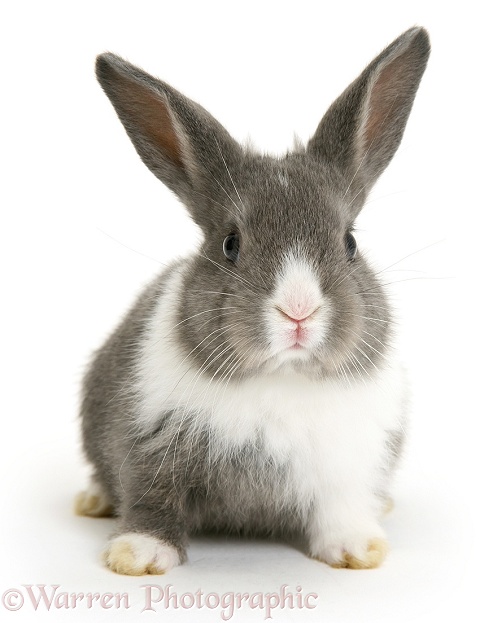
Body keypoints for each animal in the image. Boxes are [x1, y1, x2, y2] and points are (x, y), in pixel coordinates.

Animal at [75, 28, 428, 576]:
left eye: (349, 243)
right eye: (230, 244)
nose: (298, 311)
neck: (282, 376)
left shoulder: (349, 466)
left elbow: (341, 509)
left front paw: (357, 550)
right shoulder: (149, 445)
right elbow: (153, 498)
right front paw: (138, 554)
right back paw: (92, 500)